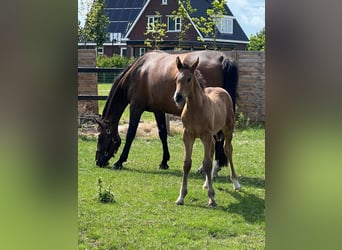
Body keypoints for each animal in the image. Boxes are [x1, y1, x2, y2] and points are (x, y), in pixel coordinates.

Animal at [93, 50, 238, 172]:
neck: (138, 72)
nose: (98, 162)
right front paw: (164, 162)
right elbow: (162, 134)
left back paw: (210, 167)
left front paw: (120, 161)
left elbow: (130, 134)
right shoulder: (158, 110)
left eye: (100, 137)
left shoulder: (136, 107)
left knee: (216, 138)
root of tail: (222, 58)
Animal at [174, 56, 240, 207]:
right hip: (213, 135)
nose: (178, 97)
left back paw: (235, 182)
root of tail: (221, 90)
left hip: (226, 131)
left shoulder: (205, 136)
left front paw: (212, 198)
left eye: (189, 79)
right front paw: (181, 197)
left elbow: (208, 164)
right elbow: (187, 163)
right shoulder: (188, 136)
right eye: (176, 78)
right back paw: (206, 183)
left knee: (228, 150)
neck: (196, 109)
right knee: (212, 150)